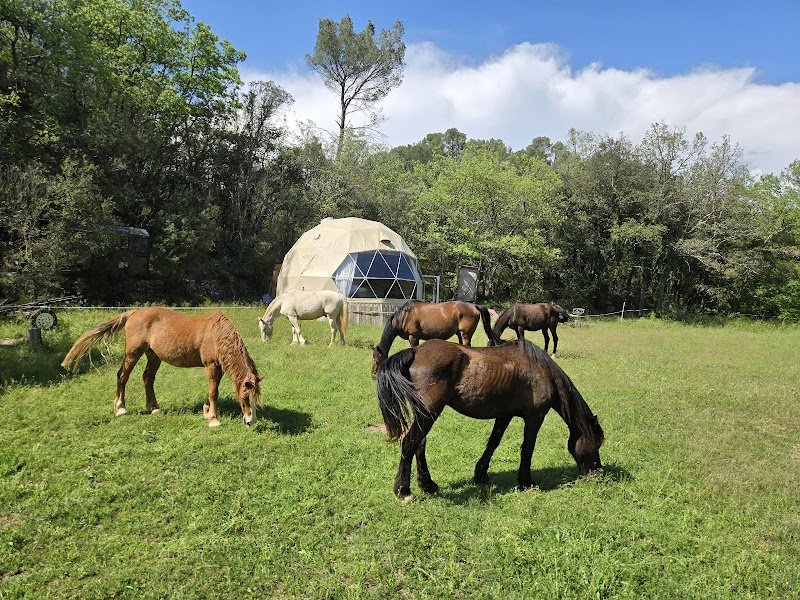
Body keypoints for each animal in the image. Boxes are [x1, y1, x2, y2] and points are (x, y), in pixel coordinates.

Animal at [61, 307, 262, 427]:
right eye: (245, 397)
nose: (250, 421)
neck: (216, 333)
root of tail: (133, 313)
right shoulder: (211, 365)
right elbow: (213, 392)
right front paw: (213, 420)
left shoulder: (217, 367)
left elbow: (211, 390)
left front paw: (206, 412)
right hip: (133, 353)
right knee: (122, 376)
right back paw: (120, 409)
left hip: (153, 356)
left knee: (147, 378)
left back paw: (154, 408)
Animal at [376, 338, 604, 500]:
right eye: (597, 444)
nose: (597, 474)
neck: (541, 370)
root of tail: (415, 351)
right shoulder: (534, 417)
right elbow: (528, 447)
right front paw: (526, 482)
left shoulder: (504, 415)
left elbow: (494, 442)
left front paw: (480, 474)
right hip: (429, 412)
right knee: (410, 443)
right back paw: (403, 491)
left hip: (426, 414)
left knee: (419, 445)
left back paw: (428, 485)